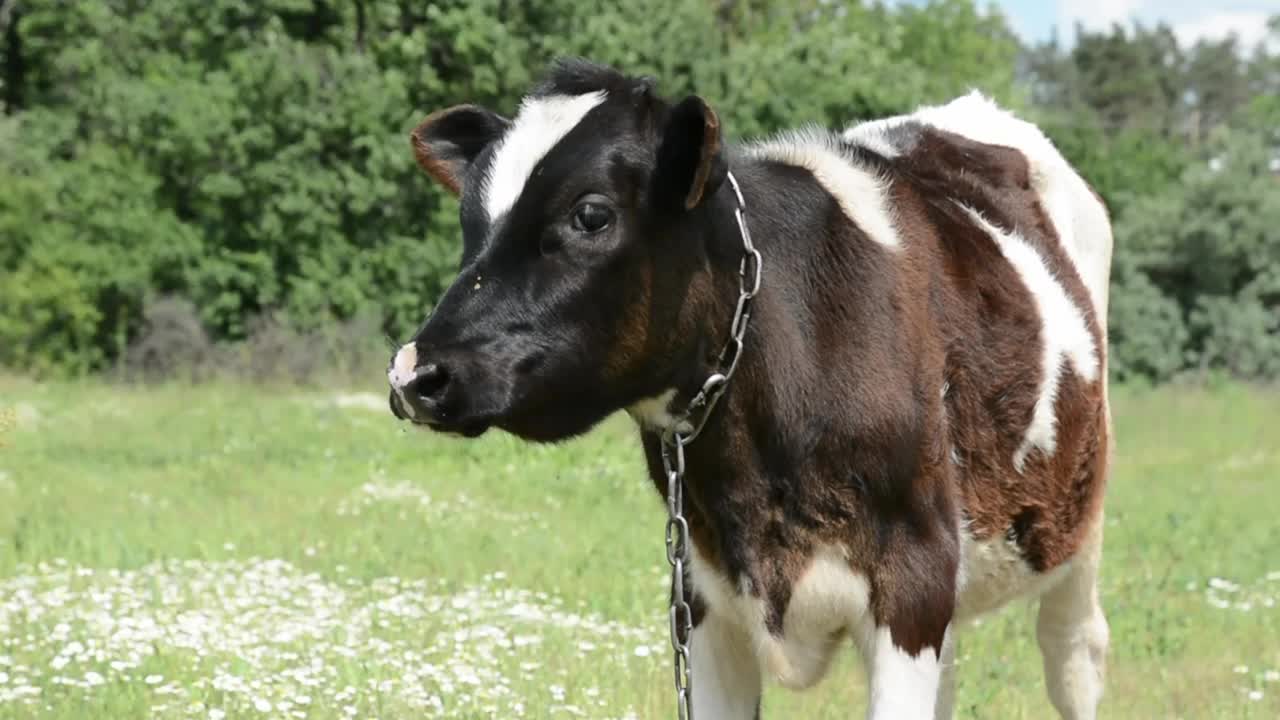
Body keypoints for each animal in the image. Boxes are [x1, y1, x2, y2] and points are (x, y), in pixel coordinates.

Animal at [384, 57, 1116, 717]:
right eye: (470, 219)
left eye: (591, 214)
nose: (415, 373)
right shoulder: (701, 593)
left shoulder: (913, 582)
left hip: (1073, 526)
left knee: (1075, 654)